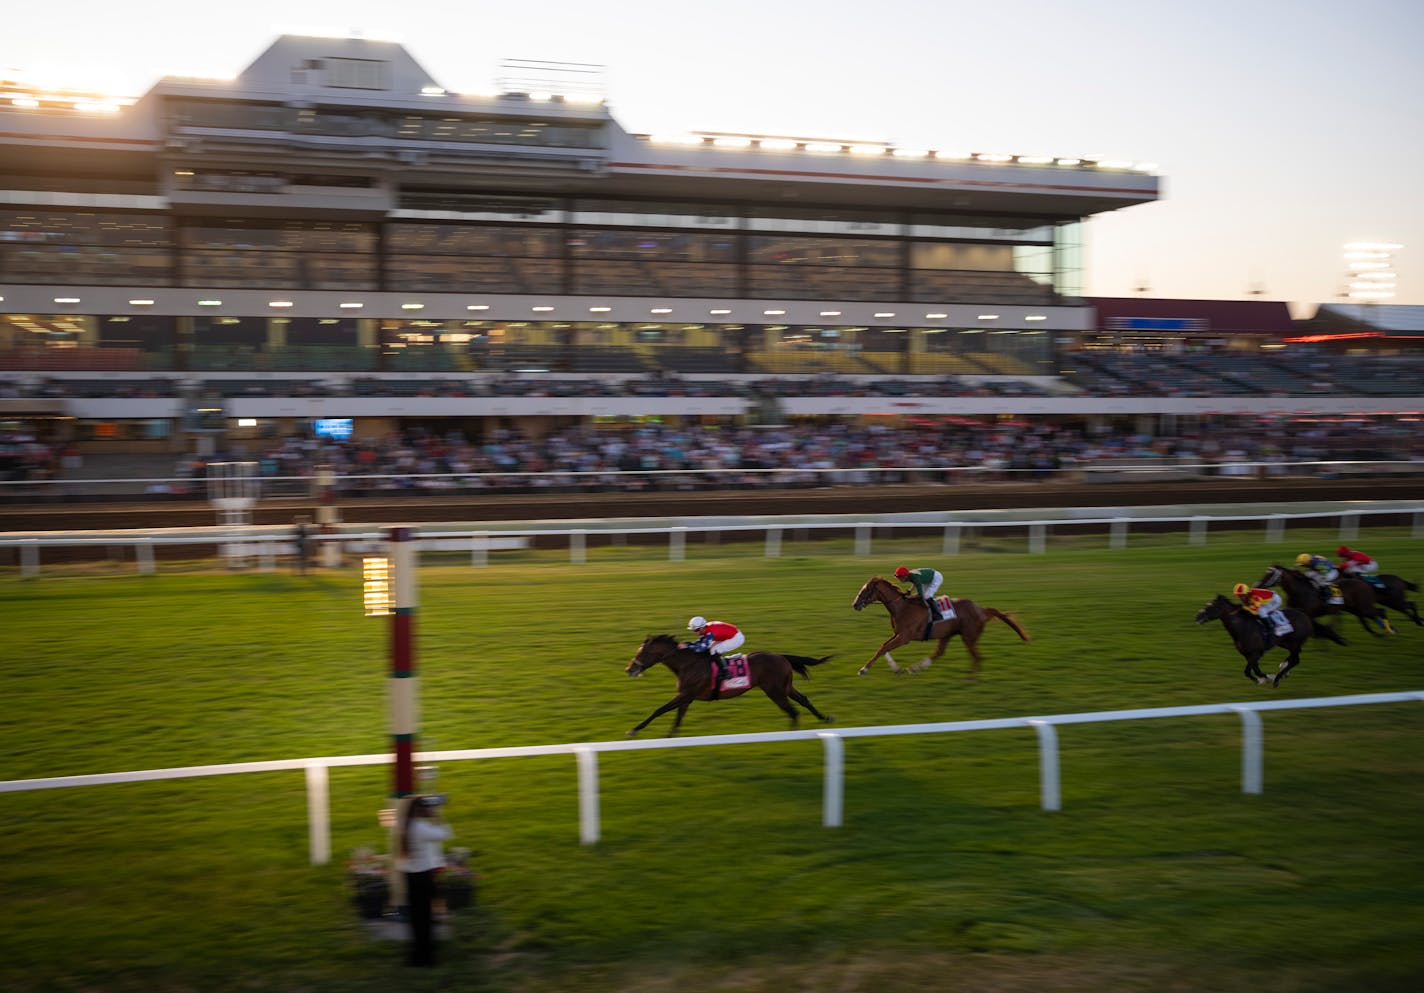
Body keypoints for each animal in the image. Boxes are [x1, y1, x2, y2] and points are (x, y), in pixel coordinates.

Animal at [623, 635, 831, 735]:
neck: (687, 664)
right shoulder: (687, 697)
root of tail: (781, 656)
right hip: (785, 687)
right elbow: (677, 719)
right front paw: (669, 738)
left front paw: (634, 730)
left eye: (643, 653)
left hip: (775, 692)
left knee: (793, 712)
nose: (629, 669)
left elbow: (659, 710)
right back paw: (825, 718)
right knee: (803, 700)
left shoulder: (686, 694)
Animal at [848, 578, 1030, 678]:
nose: (855, 604)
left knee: (977, 657)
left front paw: (863, 669)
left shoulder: (905, 637)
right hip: (947, 634)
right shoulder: (898, 634)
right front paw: (897, 669)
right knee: (939, 653)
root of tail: (981, 609)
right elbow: (883, 647)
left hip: (968, 637)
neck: (902, 607)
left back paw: (972, 679)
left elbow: (883, 648)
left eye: (866, 589)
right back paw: (915, 668)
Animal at [1190, 592, 1321, 686]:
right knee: (1294, 657)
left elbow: (1248, 671)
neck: (1242, 627)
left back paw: (1278, 678)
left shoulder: (1256, 653)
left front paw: (1264, 679)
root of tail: (1305, 615)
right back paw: (1283, 669)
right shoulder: (1248, 654)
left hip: (1294, 642)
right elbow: (1255, 670)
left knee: (1296, 659)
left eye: (1210, 606)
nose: (1197, 617)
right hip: (1285, 642)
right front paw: (1265, 678)